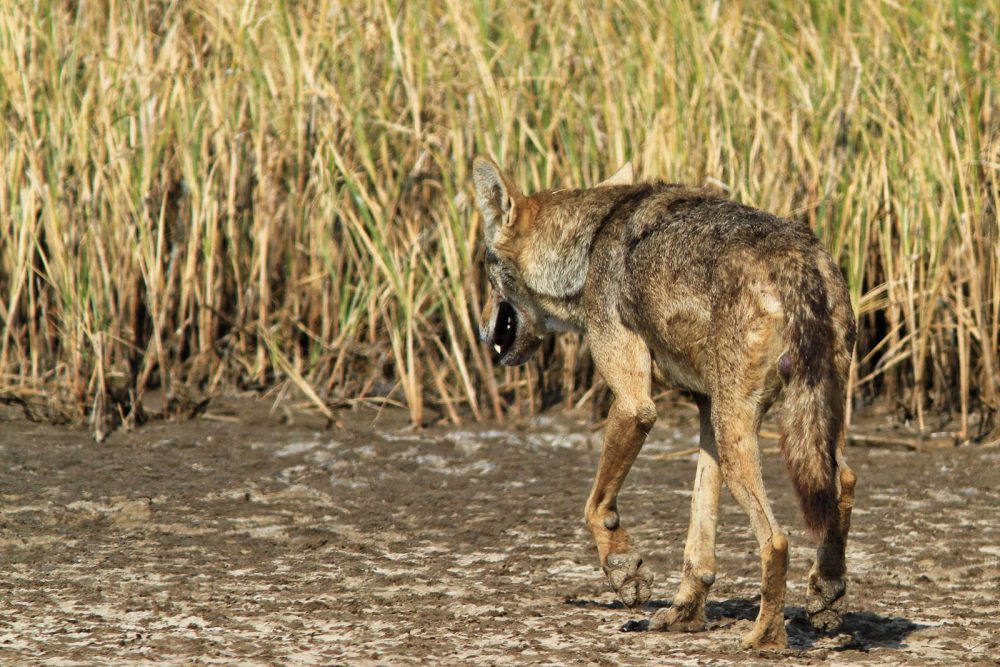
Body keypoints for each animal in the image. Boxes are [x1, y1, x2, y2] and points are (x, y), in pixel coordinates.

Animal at [472, 156, 858, 649]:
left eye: (485, 273)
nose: (481, 328)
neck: (589, 245)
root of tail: (797, 258)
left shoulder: (635, 405)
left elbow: (595, 507)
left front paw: (625, 574)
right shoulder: (705, 412)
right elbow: (699, 543)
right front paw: (684, 613)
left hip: (742, 437)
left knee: (777, 540)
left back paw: (766, 639)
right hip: (789, 424)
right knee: (843, 483)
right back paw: (826, 593)